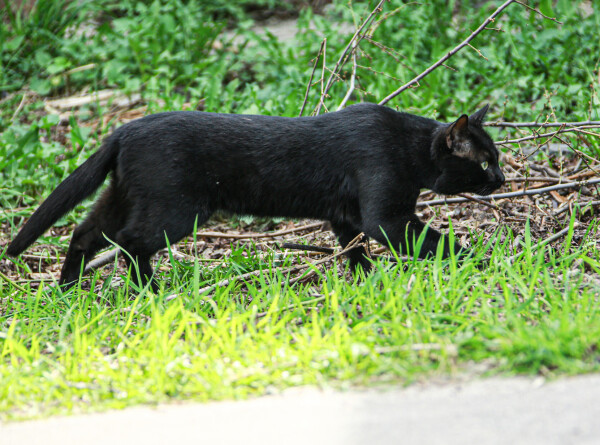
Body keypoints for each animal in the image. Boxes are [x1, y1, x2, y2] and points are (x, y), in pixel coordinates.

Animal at [7, 103, 504, 290]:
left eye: (495, 159)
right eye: (482, 163)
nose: (500, 178)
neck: (408, 148)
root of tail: (124, 129)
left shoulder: (346, 216)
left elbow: (354, 251)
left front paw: (366, 284)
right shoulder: (386, 216)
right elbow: (437, 242)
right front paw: (479, 262)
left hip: (122, 197)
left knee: (84, 232)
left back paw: (68, 288)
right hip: (174, 211)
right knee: (129, 244)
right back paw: (151, 292)